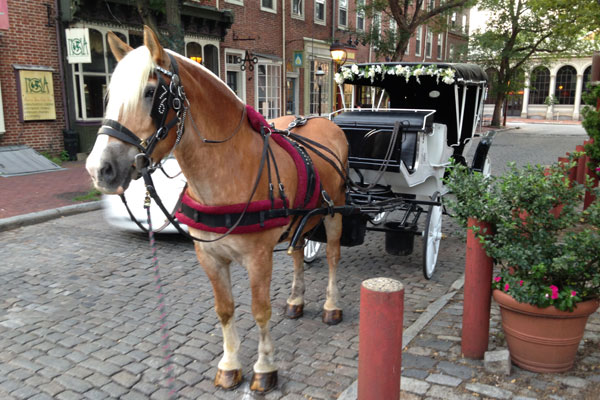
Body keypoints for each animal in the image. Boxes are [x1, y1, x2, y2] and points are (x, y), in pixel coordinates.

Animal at [84, 27, 346, 394]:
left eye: (151, 92)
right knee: (297, 253)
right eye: (108, 93)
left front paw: (264, 368)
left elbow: (260, 311)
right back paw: (296, 301)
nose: (99, 168)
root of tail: (324, 120)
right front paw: (230, 365)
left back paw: (332, 306)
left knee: (334, 257)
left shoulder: (258, 258)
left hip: (335, 212)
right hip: (299, 219)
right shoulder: (209, 257)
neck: (228, 169)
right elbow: (224, 310)